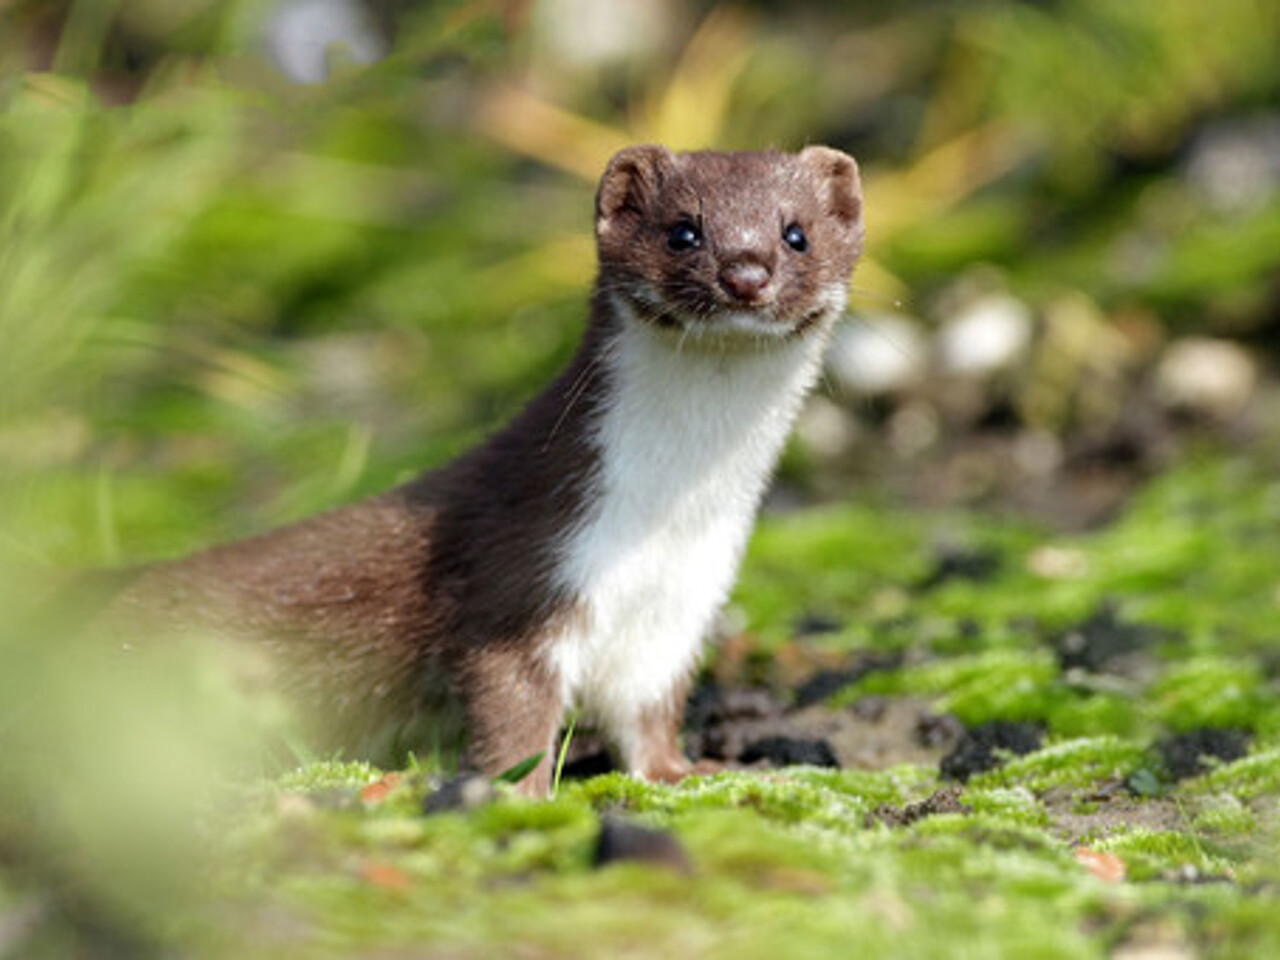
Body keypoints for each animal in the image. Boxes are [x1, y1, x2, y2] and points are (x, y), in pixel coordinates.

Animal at [112, 146, 870, 798]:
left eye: (796, 234)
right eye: (684, 230)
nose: (746, 273)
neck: (663, 523)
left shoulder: (677, 611)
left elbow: (648, 713)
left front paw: (687, 771)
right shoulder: (523, 569)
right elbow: (509, 706)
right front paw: (523, 792)